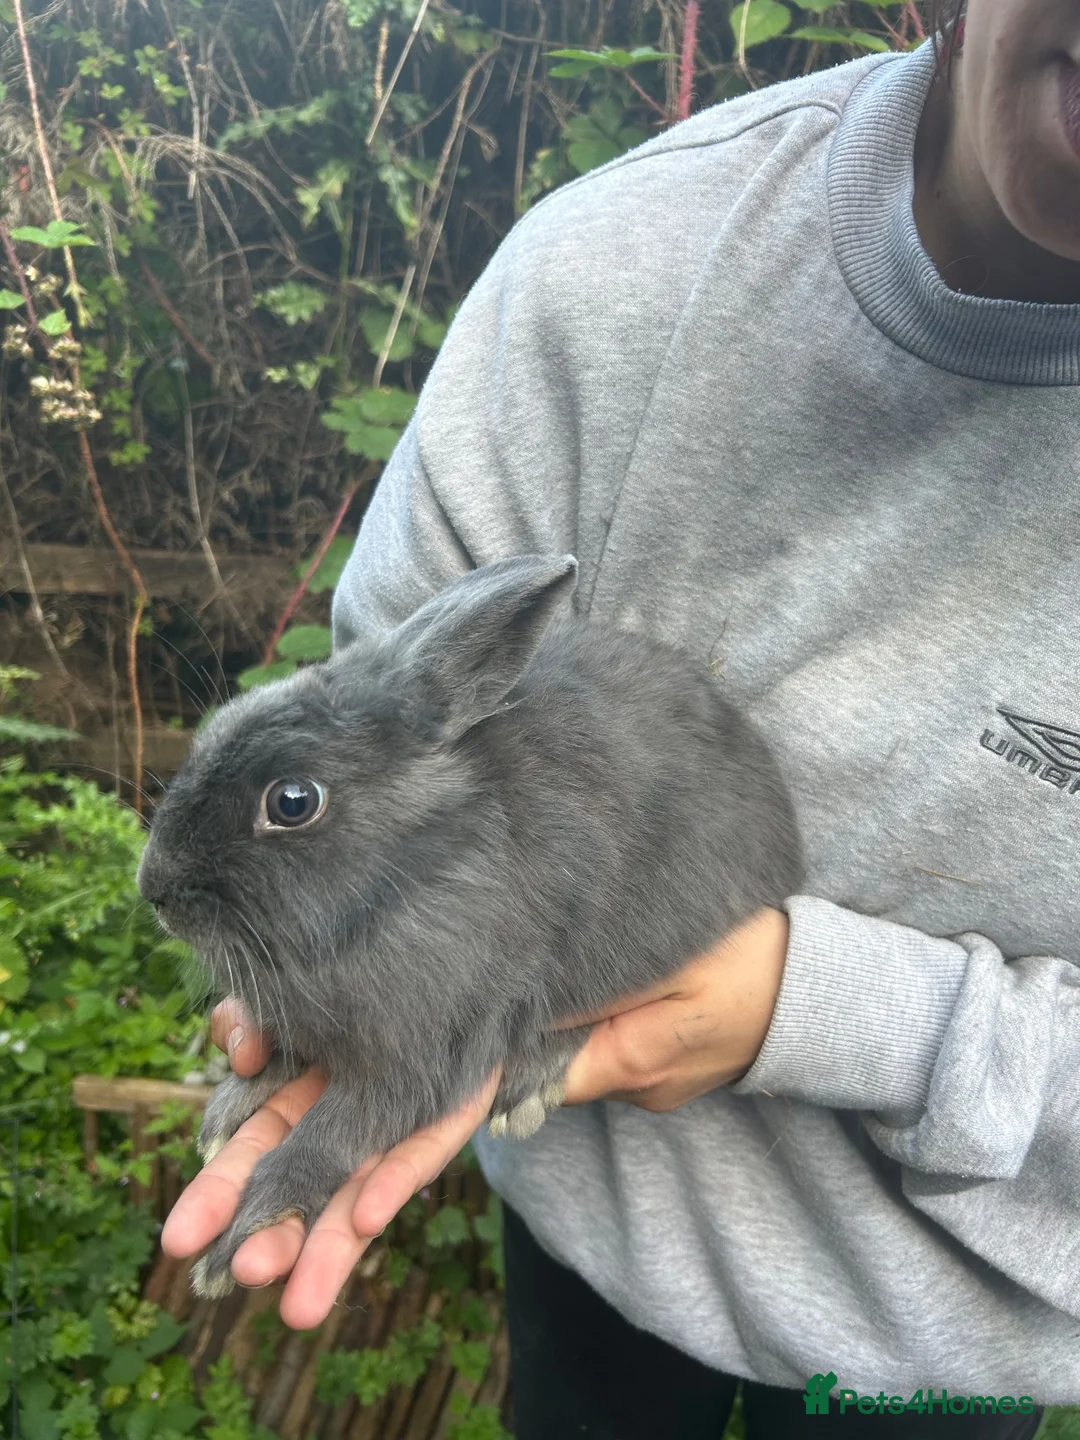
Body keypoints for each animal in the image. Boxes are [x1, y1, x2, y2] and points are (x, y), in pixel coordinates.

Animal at [137, 553, 804, 1299]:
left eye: (292, 802)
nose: (155, 888)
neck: (398, 883)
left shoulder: (425, 1053)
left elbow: (332, 1133)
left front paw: (241, 1238)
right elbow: (278, 1060)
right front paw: (229, 1110)